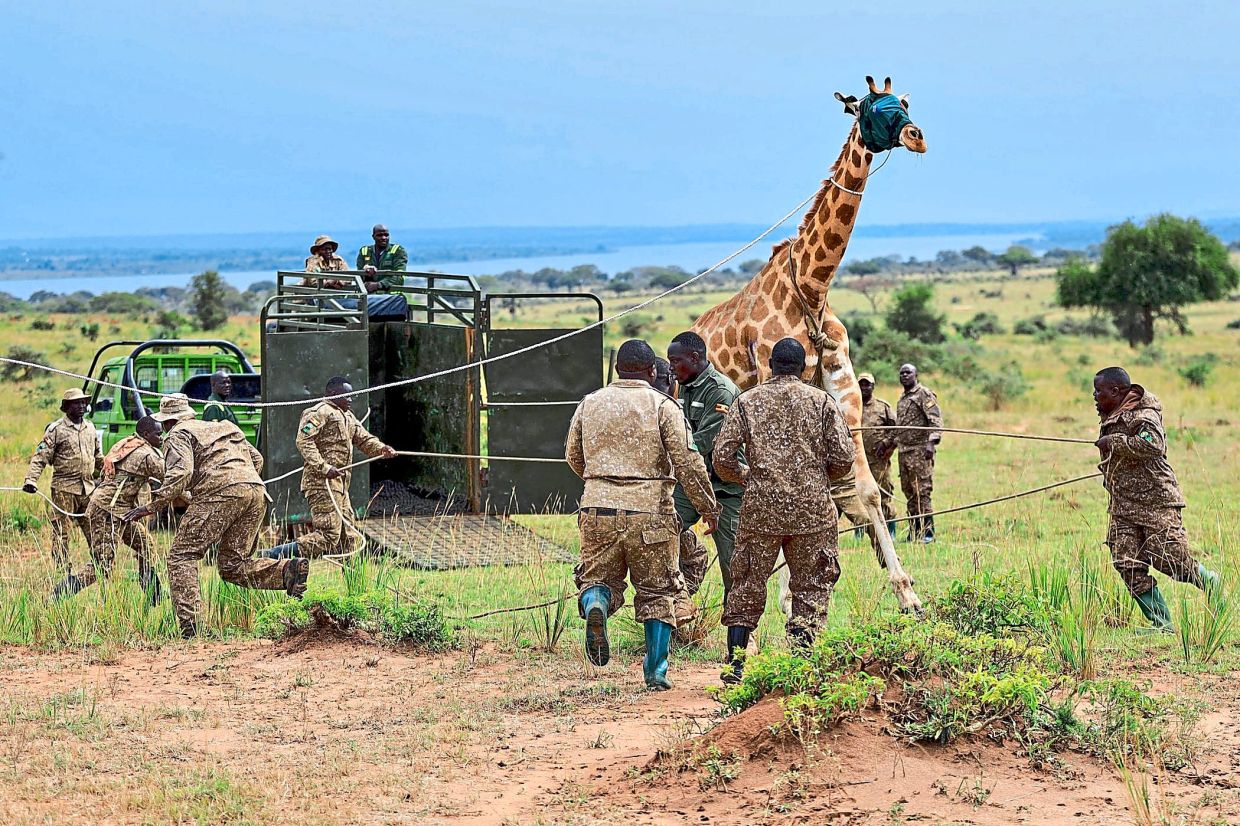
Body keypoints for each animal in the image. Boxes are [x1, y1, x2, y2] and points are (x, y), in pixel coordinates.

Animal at [692, 76, 926, 614]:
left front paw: (908, 595)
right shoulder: (772, 383)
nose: (916, 136)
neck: (814, 287)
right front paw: (781, 598)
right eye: (869, 106)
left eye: (904, 101)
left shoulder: (844, 391)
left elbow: (863, 491)